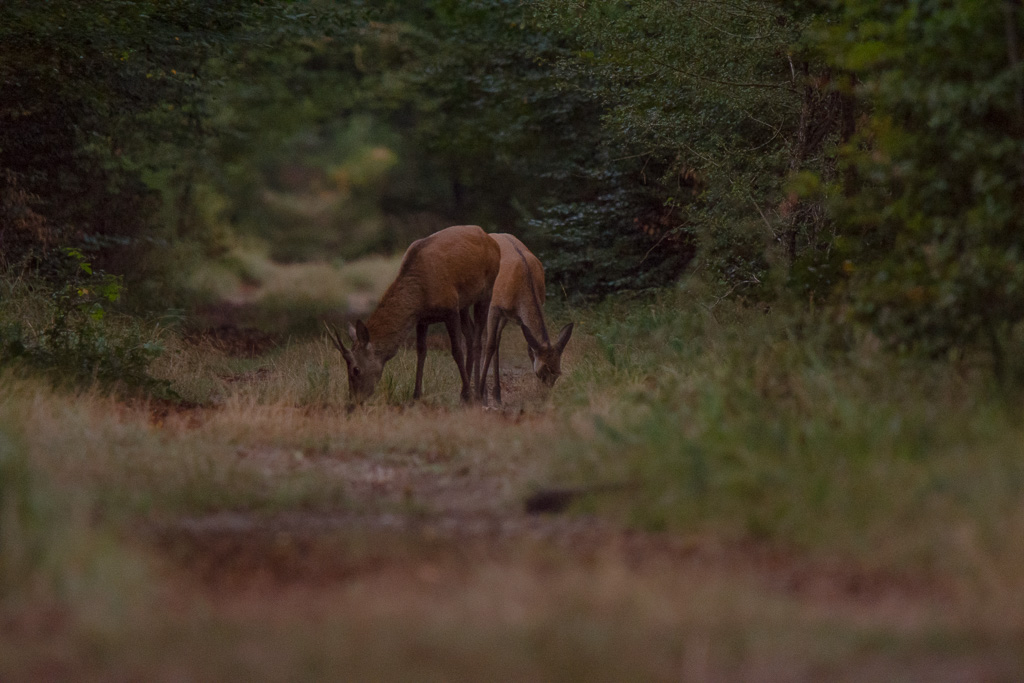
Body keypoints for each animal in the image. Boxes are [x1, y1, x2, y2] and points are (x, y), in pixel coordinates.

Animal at [326, 225, 500, 406]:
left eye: (356, 369)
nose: (353, 401)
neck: (421, 296)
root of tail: (491, 240)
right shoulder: (422, 319)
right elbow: (421, 351)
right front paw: (416, 395)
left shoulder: (450, 308)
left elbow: (457, 350)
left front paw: (468, 394)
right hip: (464, 303)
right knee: (471, 334)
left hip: (487, 290)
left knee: (479, 339)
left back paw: (480, 393)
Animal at [479, 233, 574, 404]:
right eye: (540, 373)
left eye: (557, 373)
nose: (545, 395)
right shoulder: (494, 305)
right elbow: (489, 345)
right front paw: (480, 394)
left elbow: (529, 348)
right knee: (482, 338)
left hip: (505, 316)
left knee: (497, 340)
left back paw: (497, 394)